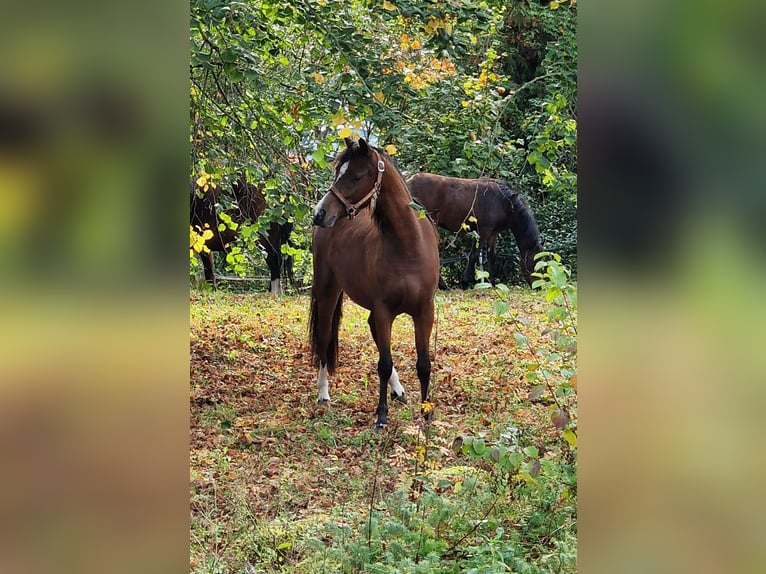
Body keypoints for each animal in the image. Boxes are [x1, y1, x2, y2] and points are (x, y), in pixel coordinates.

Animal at [312, 140, 440, 432]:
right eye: (338, 173)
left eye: (356, 176)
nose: (320, 213)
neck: (408, 247)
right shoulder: (384, 311)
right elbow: (383, 362)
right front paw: (381, 416)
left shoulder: (424, 312)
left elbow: (423, 364)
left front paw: (426, 413)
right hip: (327, 290)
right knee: (324, 337)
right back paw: (323, 394)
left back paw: (399, 390)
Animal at [412, 172, 544, 286]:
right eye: (535, 263)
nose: (539, 287)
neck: (504, 202)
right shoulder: (483, 230)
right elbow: (474, 255)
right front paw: (465, 282)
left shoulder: (493, 233)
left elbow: (491, 256)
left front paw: (492, 283)